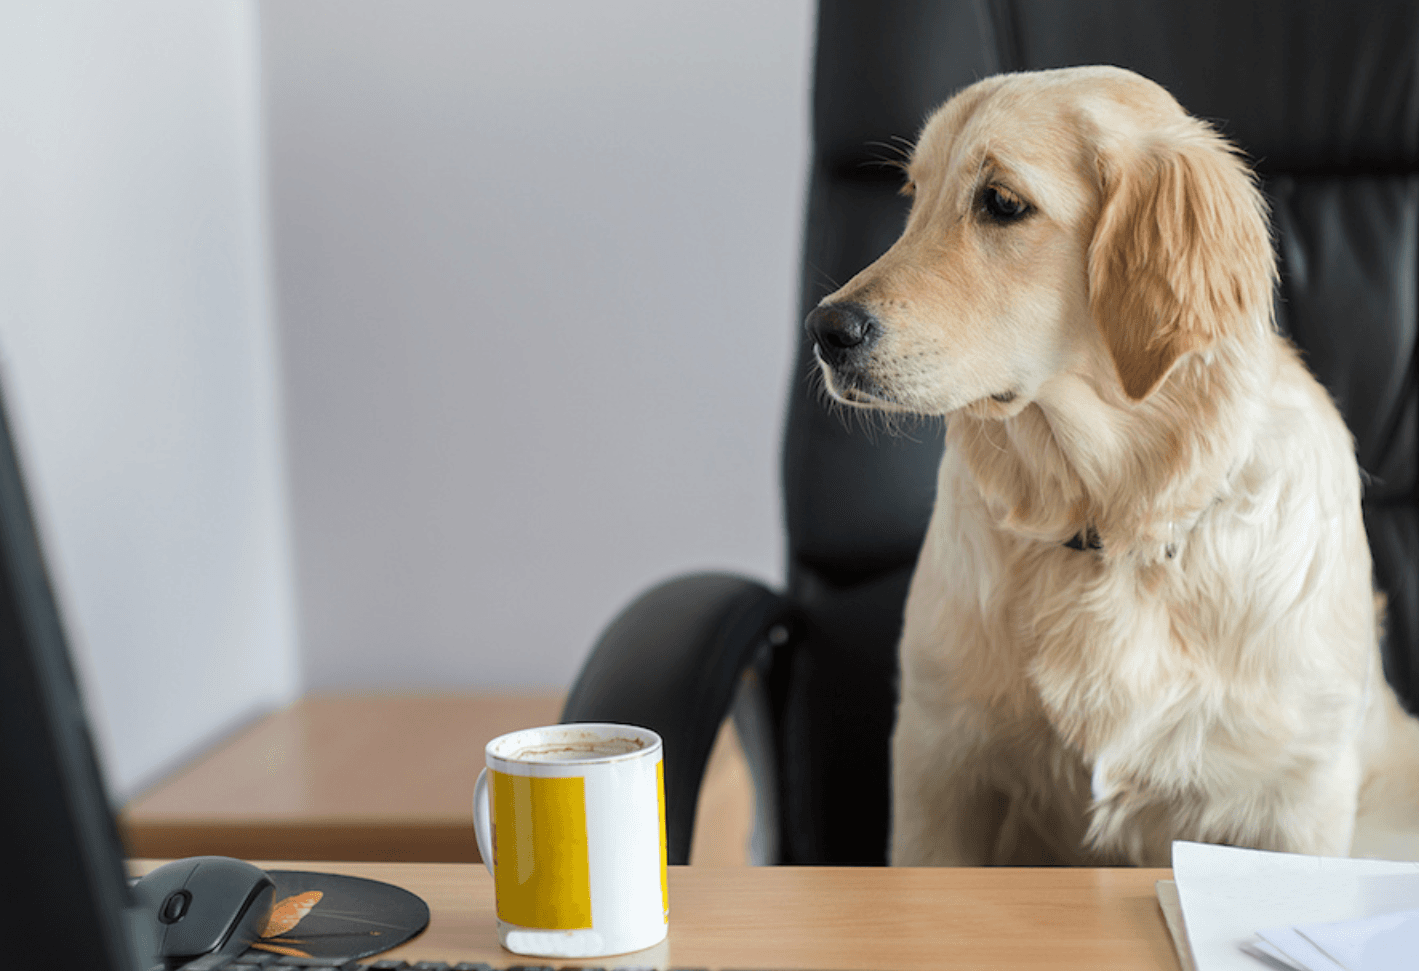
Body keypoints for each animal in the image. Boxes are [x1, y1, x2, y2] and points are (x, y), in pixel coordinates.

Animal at [811, 66, 1419, 863]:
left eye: (1002, 203)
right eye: (914, 198)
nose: (824, 330)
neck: (1111, 528)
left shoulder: (1296, 798)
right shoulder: (938, 765)